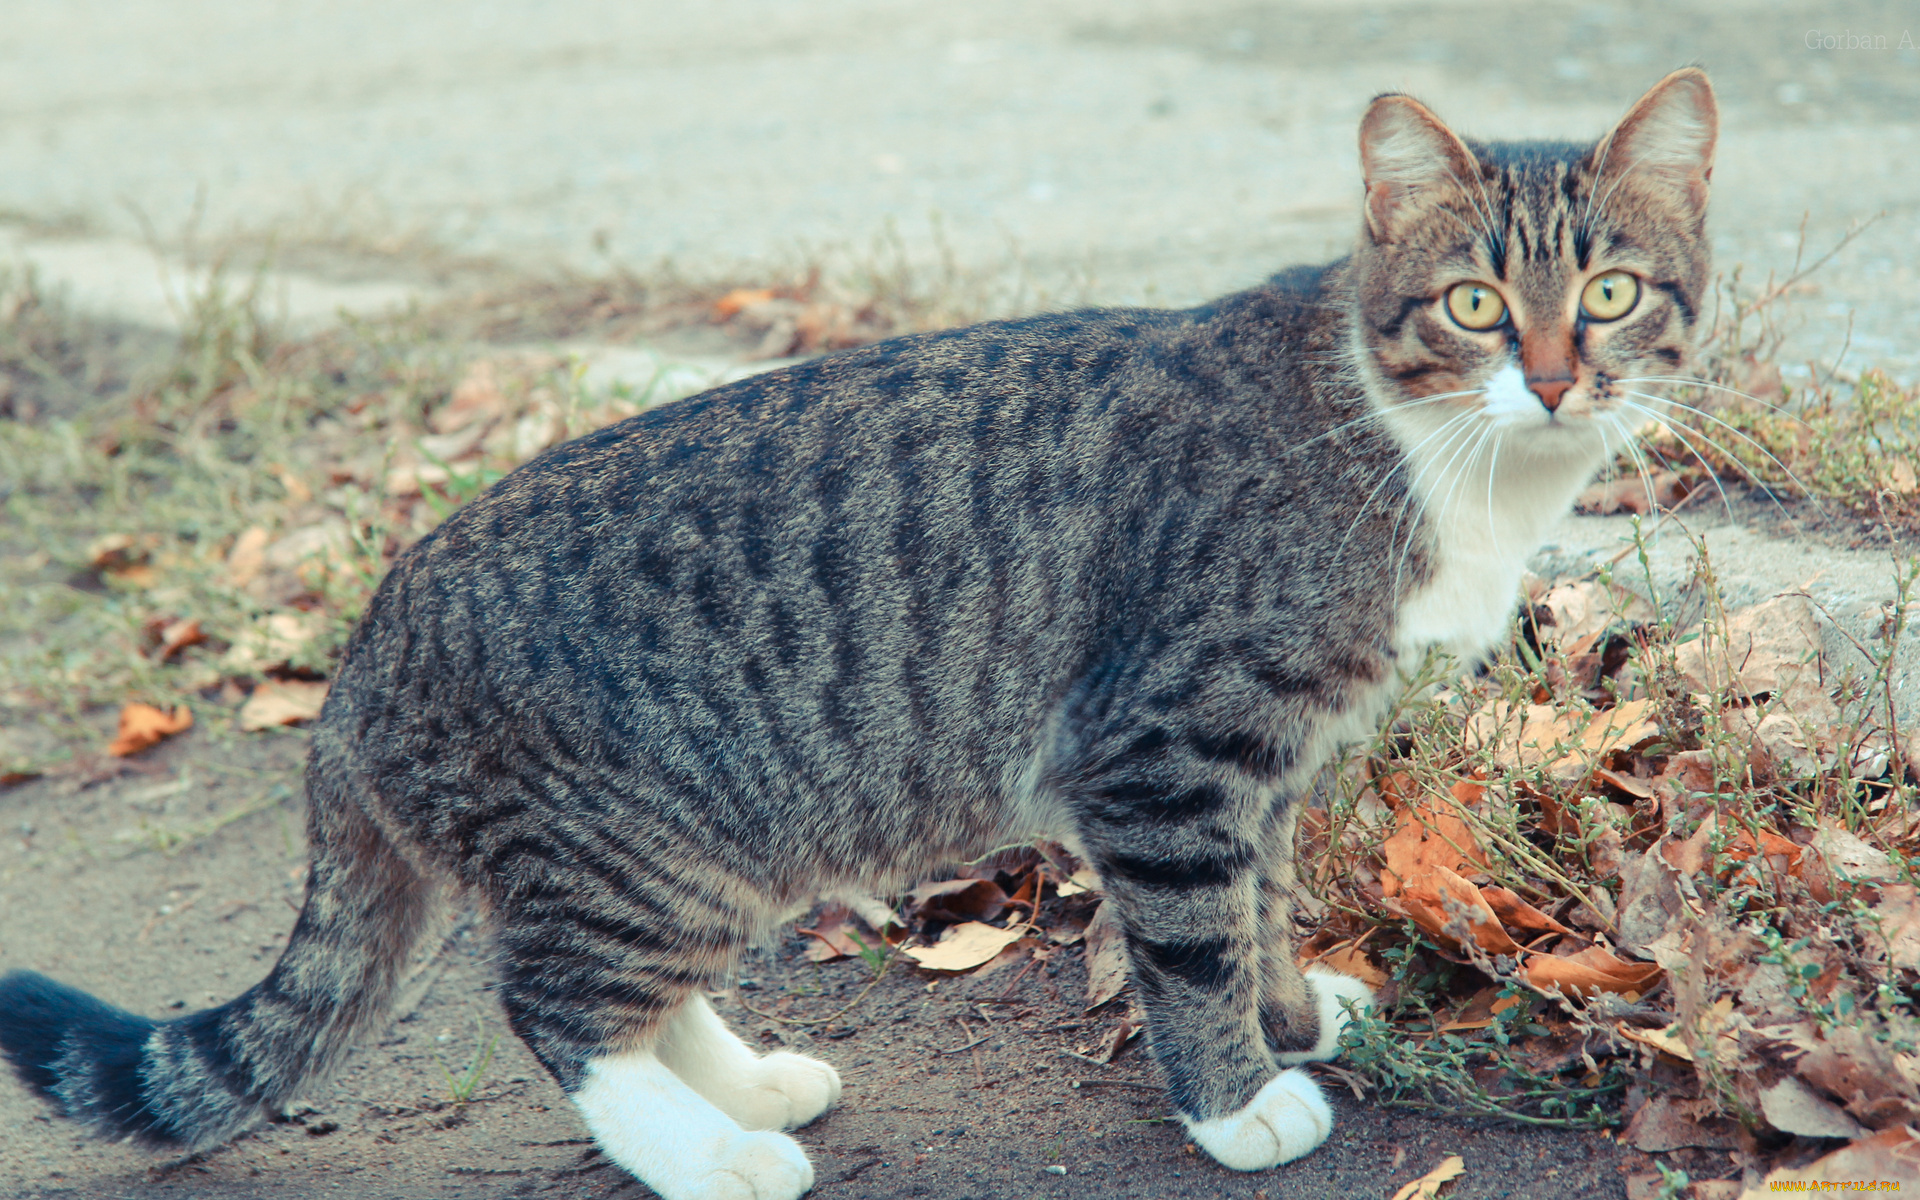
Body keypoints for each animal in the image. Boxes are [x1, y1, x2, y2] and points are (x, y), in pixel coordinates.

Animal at [0, 70, 1712, 1190]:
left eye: (1613, 294)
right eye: (1477, 305)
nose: (1557, 376)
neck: (1428, 446)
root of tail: (365, 644)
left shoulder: (1270, 764)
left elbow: (1263, 906)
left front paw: (1292, 1016)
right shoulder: (1166, 751)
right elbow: (1192, 939)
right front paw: (1238, 1101)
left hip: (701, 846)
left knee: (621, 986)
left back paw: (752, 1085)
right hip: (644, 840)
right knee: (553, 1001)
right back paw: (706, 1155)